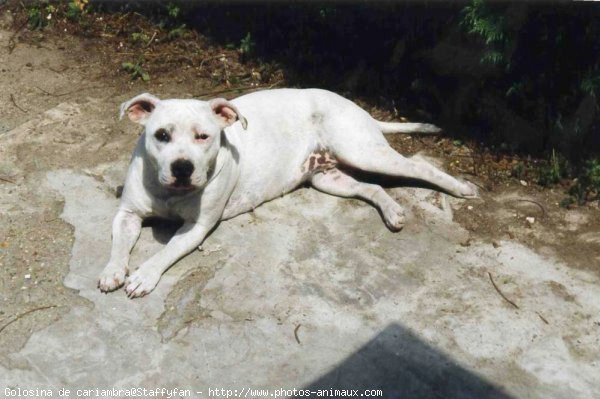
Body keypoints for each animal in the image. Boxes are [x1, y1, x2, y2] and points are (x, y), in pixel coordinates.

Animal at [97, 89, 474, 298]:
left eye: (204, 136)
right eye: (161, 135)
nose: (182, 167)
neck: (169, 192)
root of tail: (357, 107)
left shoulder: (196, 228)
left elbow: (166, 252)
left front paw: (144, 275)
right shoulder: (127, 214)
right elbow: (118, 244)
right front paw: (114, 270)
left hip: (363, 151)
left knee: (419, 167)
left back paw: (461, 188)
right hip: (329, 178)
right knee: (373, 186)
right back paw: (392, 211)